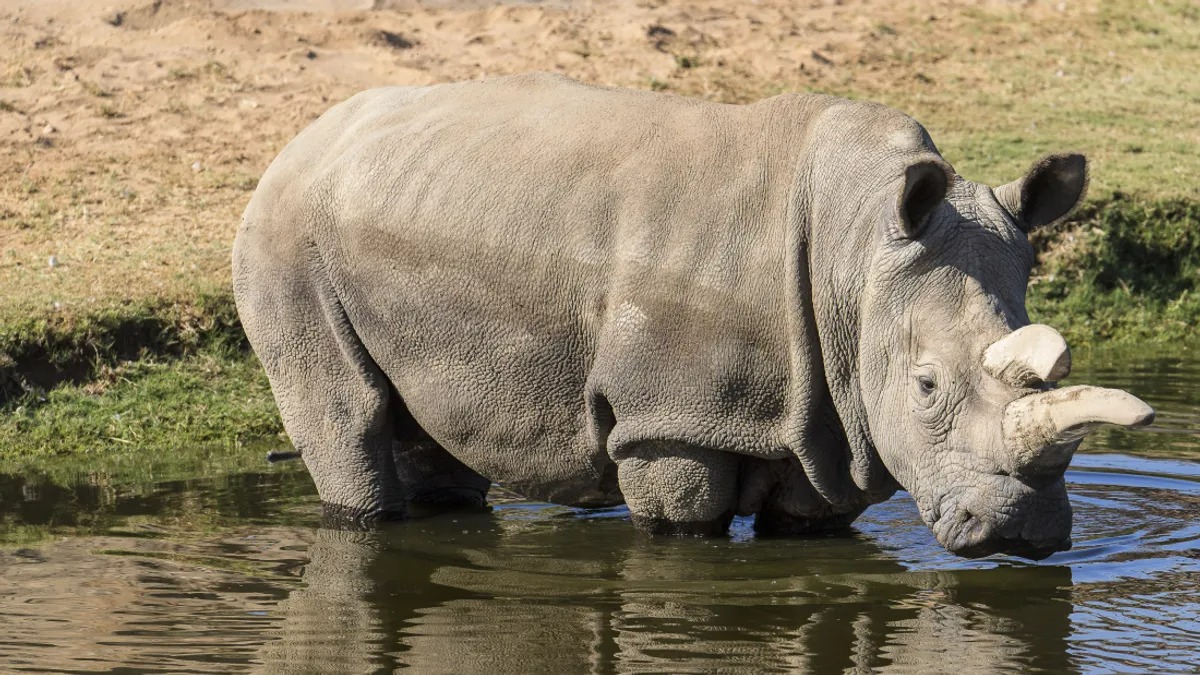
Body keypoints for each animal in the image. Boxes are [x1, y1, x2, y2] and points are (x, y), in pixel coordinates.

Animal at [234, 72, 1152, 557]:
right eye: (925, 385)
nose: (1021, 531)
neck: (859, 252)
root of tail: (303, 137)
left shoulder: (836, 414)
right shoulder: (668, 417)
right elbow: (682, 514)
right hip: (286, 231)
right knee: (347, 416)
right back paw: (367, 515)